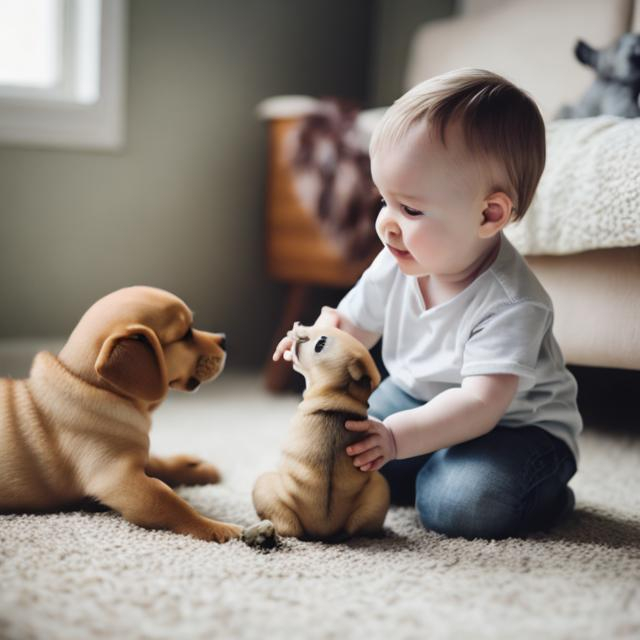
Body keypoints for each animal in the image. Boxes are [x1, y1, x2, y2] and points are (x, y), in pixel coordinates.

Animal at [0, 288, 242, 544]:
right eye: (186, 334)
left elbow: (158, 462)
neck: (92, 385)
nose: (224, 339)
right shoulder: (119, 477)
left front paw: (195, 468)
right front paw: (216, 527)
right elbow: (169, 500)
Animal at [251, 324, 390, 540]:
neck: (338, 397)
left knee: (288, 528)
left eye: (320, 344)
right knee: (359, 529)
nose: (299, 329)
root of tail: (324, 531)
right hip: (379, 492)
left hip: (264, 485)